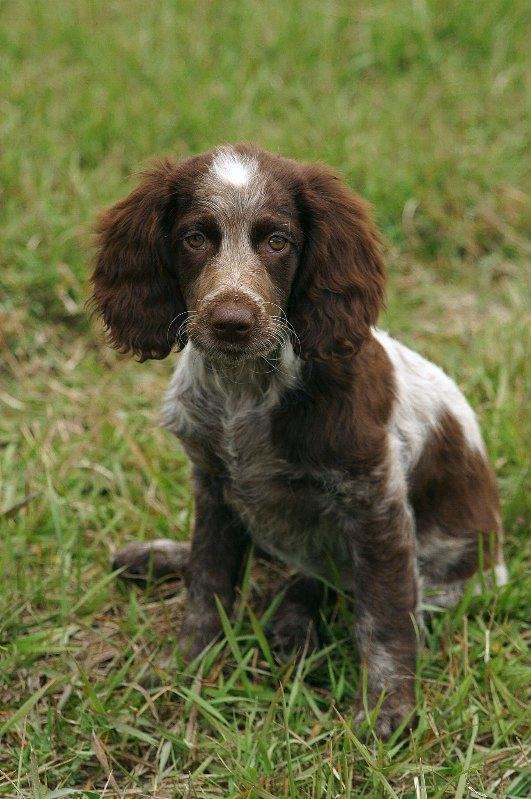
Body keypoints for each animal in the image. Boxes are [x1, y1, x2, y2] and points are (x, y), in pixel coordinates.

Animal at [90, 144, 508, 736]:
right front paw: (186, 669)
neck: (243, 390)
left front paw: (387, 709)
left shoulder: (375, 501)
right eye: (195, 238)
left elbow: (383, 615)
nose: (232, 321)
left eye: (277, 241)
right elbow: (207, 583)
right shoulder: (213, 484)